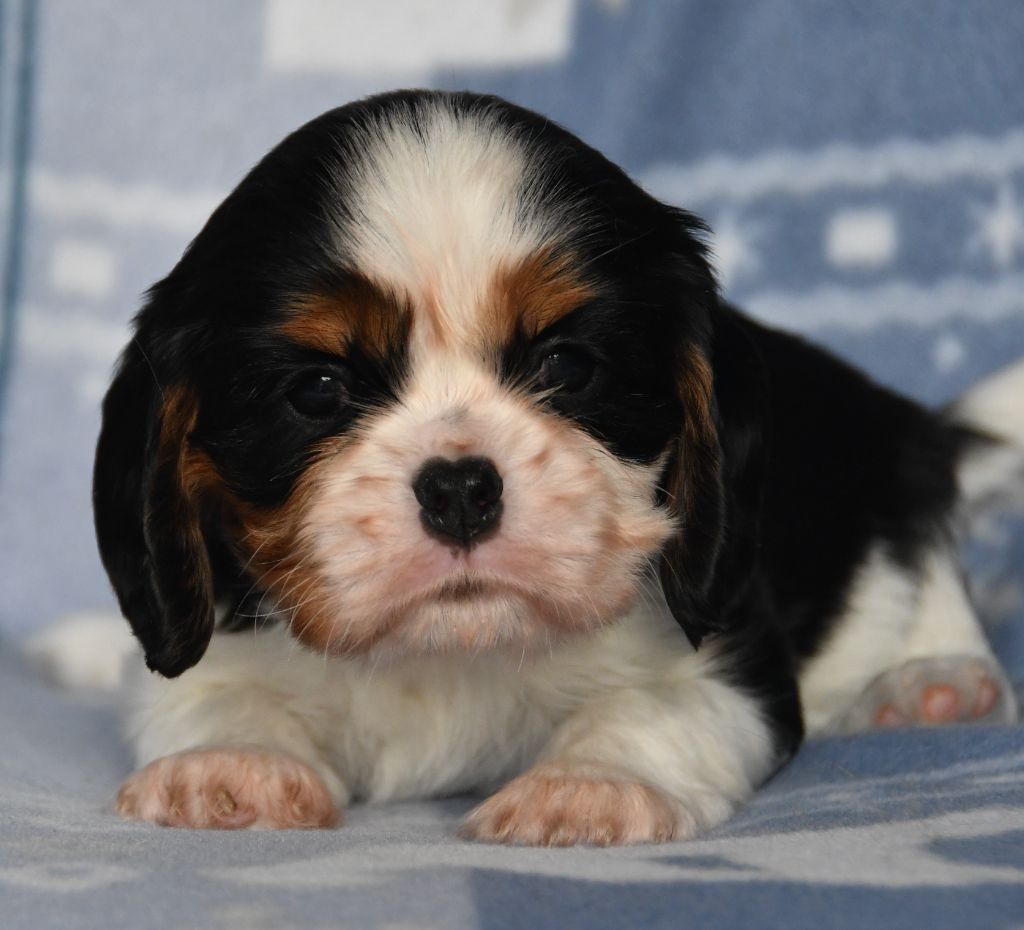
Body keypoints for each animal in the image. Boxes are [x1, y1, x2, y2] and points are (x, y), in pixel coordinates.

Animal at [96, 92, 1024, 843]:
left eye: (567, 367)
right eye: (319, 390)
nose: (460, 488)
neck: (451, 652)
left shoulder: (730, 660)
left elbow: (647, 707)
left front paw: (587, 788)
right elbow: (213, 694)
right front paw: (227, 766)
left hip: (891, 497)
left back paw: (931, 685)